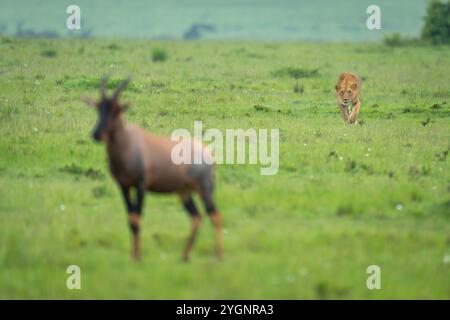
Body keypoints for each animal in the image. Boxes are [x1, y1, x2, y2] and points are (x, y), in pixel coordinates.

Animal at [82, 78, 223, 262]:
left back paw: (218, 257)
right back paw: (184, 257)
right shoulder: (123, 186)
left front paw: (138, 258)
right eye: (99, 107)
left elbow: (138, 219)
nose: (96, 134)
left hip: (204, 189)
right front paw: (133, 257)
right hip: (183, 192)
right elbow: (131, 220)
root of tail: (208, 154)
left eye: (116, 110)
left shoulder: (141, 185)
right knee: (196, 217)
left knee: (215, 215)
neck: (129, 143)